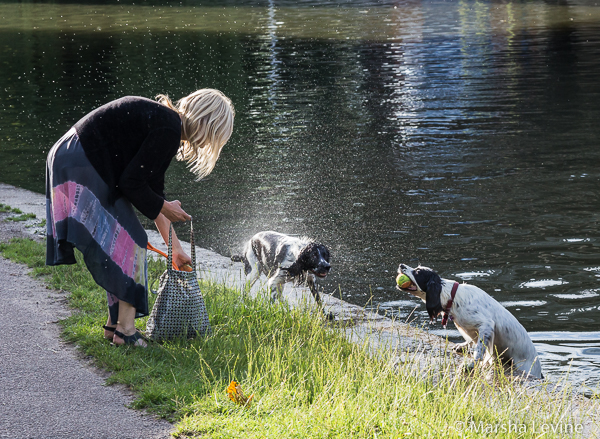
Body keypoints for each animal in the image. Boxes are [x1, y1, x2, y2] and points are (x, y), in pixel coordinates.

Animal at [396, 262, 540, 380]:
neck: (451, 296)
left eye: (418, 272)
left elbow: (479, 350)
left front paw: (471, 364)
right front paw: (463, 346)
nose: (401, 265)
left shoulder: (486, 324)